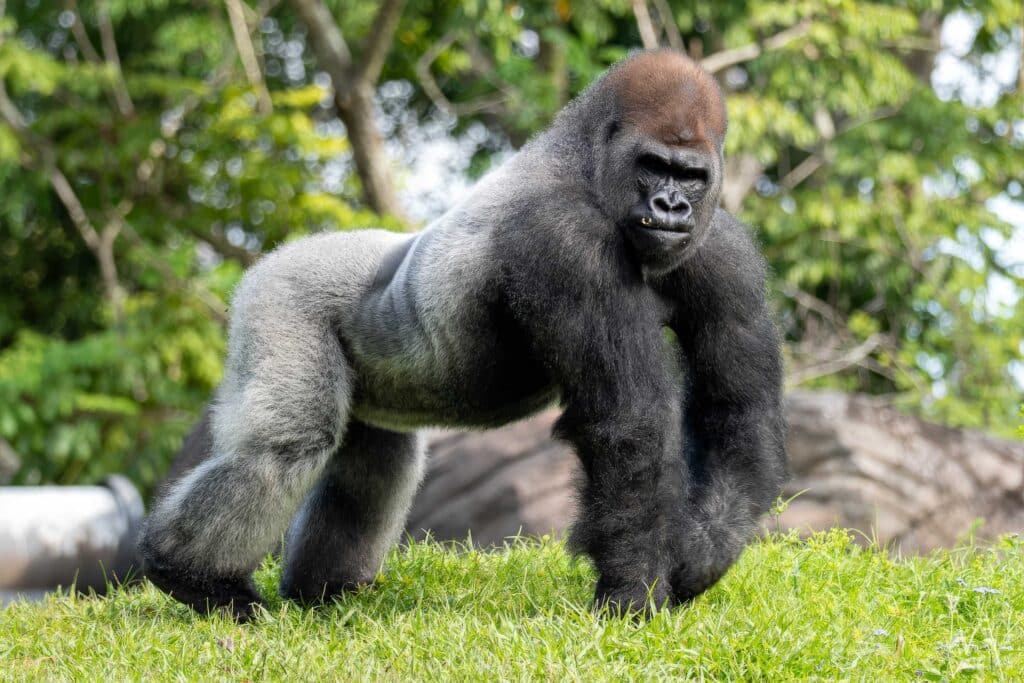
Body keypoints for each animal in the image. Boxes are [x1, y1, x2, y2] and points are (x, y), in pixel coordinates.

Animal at [139, 49, 787, 621]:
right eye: (653, 165)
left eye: (691, 175)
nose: (672, 206)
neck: (584, 161)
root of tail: (279, 255)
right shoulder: (564, 240)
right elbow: (631, 425)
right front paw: (632, 593)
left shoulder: (724, 250)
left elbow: (735, 409)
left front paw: (700, 555)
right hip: (280, 293)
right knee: (284, 446)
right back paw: (192, 576)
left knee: (375, 462)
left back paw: (325, 592)